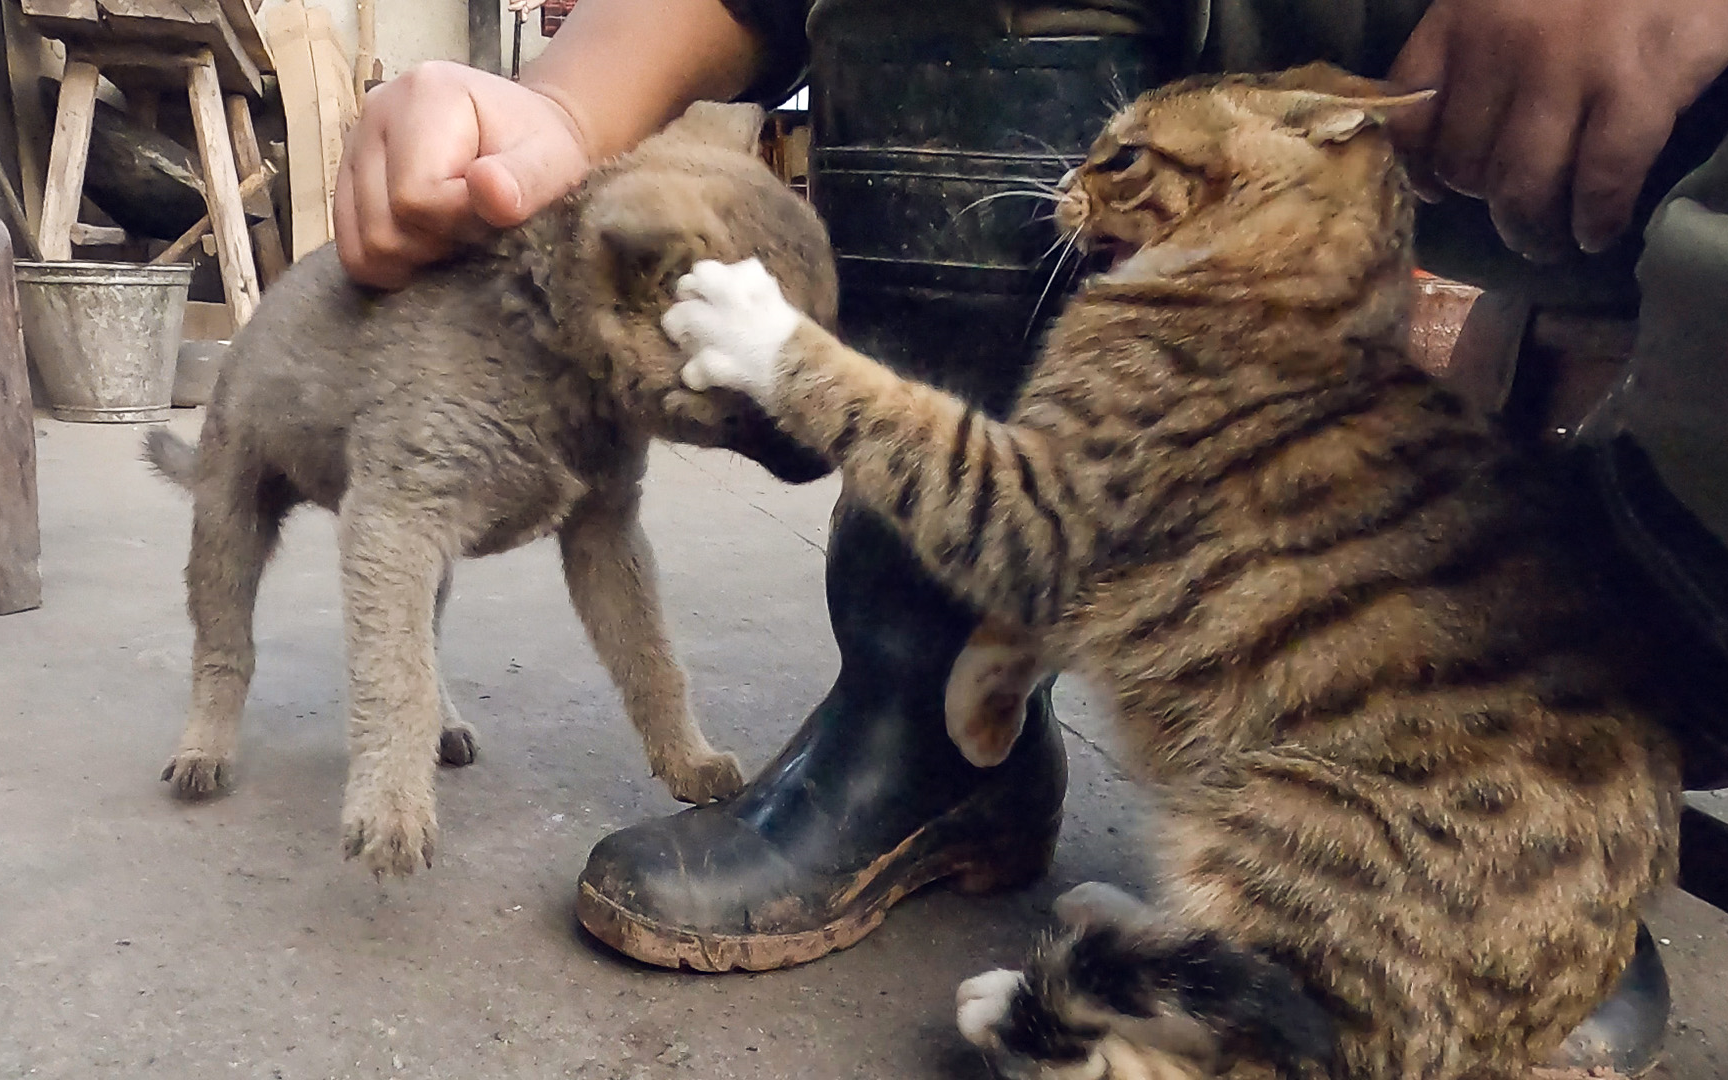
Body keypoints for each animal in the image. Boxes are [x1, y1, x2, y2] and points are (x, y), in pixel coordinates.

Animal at [145, 101, 832, 877]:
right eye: (777, 363)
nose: (841, 457)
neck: (549, 348)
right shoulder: (394, 524)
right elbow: (397, 677)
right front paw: (391, 808)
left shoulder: (604, 533)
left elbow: (652, 659)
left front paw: (687, 758)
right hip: (231, 519)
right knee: (226, 647)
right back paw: (204, 745)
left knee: (429, 639)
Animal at [667, 65, 1679, 1078]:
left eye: (1122, 156)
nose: (1061, 183)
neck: (1295, 290)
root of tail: (1496, 1050)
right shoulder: (1064, 539)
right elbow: (1026, 632)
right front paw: (980, 715)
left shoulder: (1040, 506)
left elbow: (895, 412)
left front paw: (752, 322)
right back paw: (1128, 923)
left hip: (1290, 816)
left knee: (1182, 1054)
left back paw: (1023, 997)